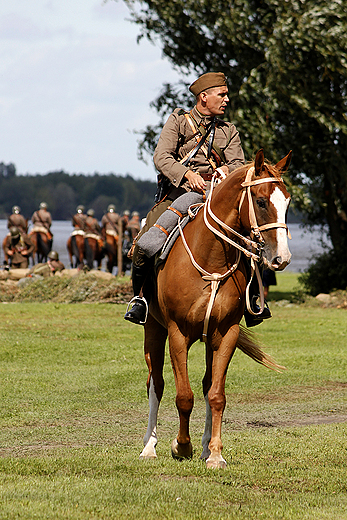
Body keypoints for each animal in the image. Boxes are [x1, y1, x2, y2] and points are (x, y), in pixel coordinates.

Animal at [140, 149, 292, 468]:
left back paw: (205, 447)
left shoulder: (226, 334)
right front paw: (180, 446)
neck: (210, 258)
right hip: (153, 329)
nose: (281, 258)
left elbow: (216, 394)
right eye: (261, 201)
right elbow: (183, 396)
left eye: (287, 202)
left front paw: (215, 453)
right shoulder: (177, 333)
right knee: (155, 383)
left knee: (207, 383)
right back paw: (149, 446)